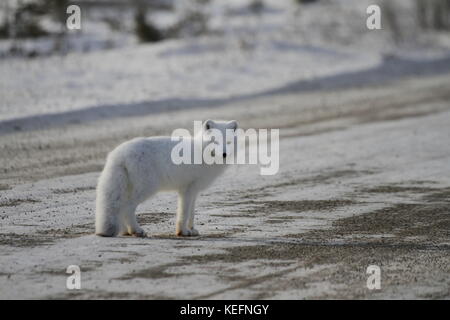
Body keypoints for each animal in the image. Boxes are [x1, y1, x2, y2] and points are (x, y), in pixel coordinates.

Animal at [95, 120, 239, 238]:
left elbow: (191, 214)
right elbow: (184, 213)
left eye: (228, 142)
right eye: (215, 141)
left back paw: (126, 231)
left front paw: (191, 230)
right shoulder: (187, 190)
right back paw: (136, 231)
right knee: (127, 208)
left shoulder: (194, 191)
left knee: (121, 208)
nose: (224, 154)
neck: (201, 152)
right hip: (147, 188)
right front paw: (183, 232)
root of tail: (117, 154)